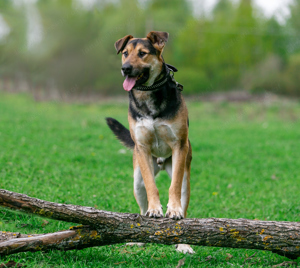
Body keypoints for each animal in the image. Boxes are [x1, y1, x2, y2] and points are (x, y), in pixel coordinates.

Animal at [106, 30, 193, 253]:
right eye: (125, 53)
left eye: (143, 53)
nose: (125, 69)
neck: (148, 94)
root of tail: (161, 163)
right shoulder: (142, 148)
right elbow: (151, 186)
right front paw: (155, 209)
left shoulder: (179, 145)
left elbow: (174, 187)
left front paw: (173, 210)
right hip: (137, 180)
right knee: (141, 206)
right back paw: (140, 237)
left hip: (185, 177)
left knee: (184, 206)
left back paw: (184, 244)